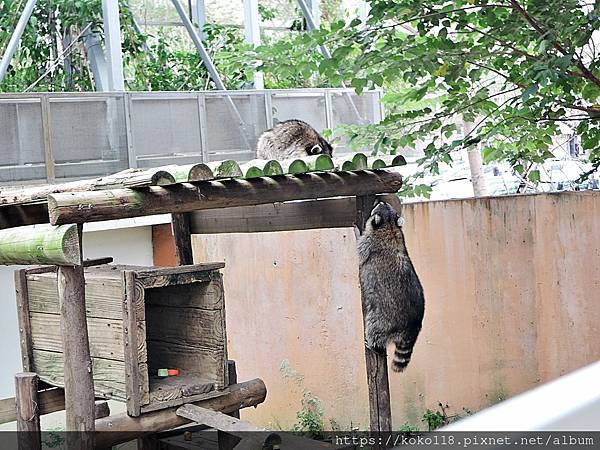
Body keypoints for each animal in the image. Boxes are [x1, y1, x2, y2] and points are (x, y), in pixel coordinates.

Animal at [358, 202, 424, 370]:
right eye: (383, 204)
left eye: (378, 206)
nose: (380, 201)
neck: (389, 225)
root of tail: (413, 326)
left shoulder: (367, 242)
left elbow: (360, 247)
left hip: (383, 320)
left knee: (374, 330)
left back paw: (373, 345)